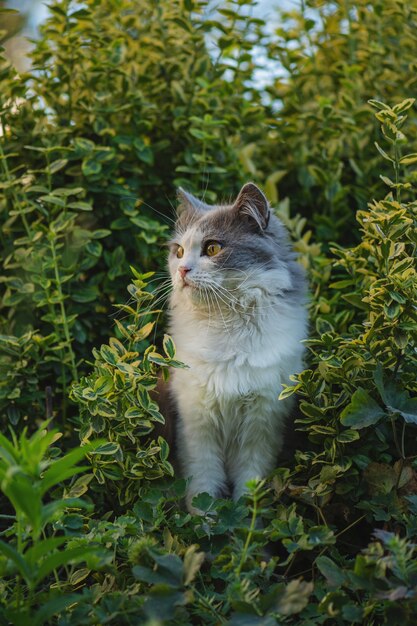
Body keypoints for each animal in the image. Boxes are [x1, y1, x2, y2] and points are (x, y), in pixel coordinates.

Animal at [166, 180, 306, 512]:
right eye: (179, 251)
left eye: (212, 248)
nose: (182, 270)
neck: (226, 322)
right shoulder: (196, 426)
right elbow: (203, 488)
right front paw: (203, 524)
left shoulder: (262, 425)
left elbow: (250, 488)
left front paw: (247, 523)